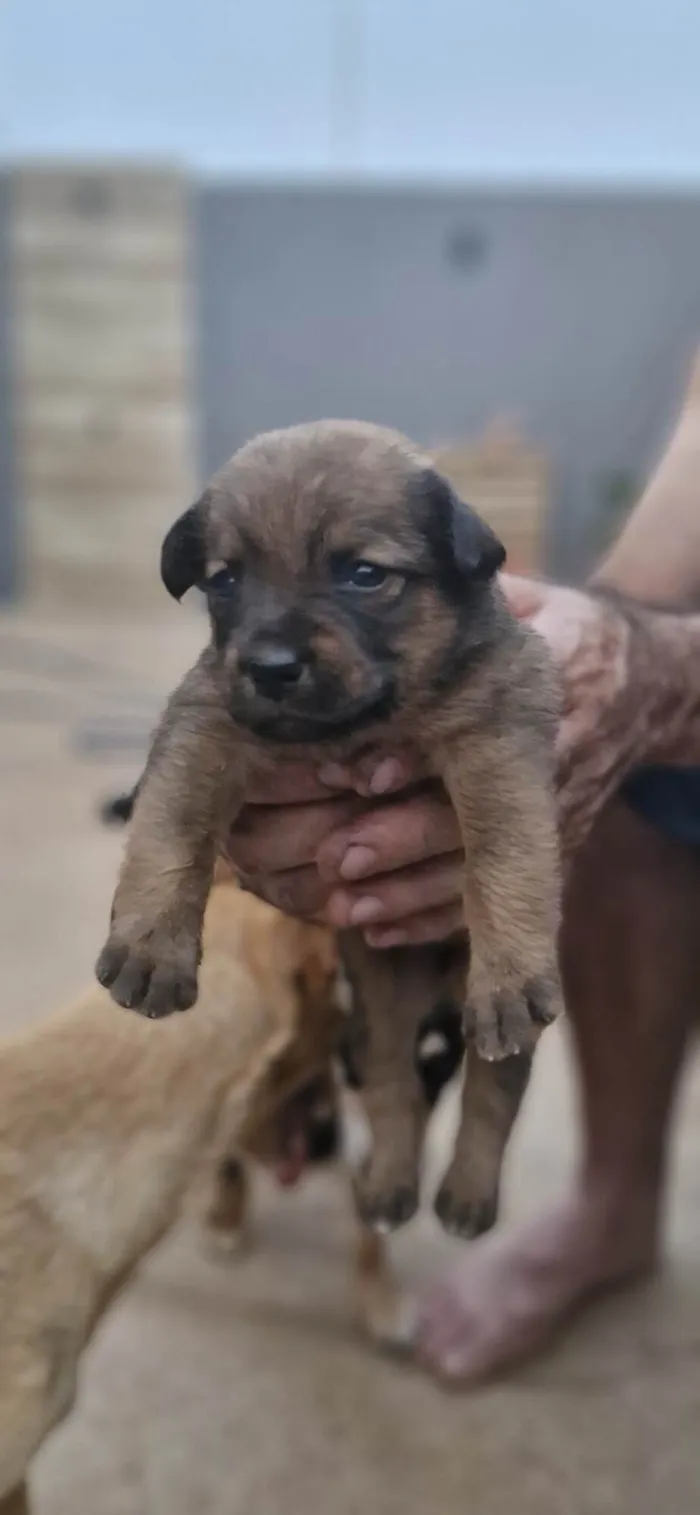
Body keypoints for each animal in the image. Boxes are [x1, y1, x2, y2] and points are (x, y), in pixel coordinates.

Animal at [95, 421, 560, 1236]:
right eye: (225, 580)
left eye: (364, 574)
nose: (271, 666)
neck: (361, 724)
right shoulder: (209, 720)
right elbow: (169, 826)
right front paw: (151, 944)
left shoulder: (496, 732)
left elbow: (504, 852)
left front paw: (508, 965)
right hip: (377, 1010)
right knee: (393, 1087)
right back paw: (389, 1187)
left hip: (476, 1033)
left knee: (489, 1094)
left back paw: (467, 1194)